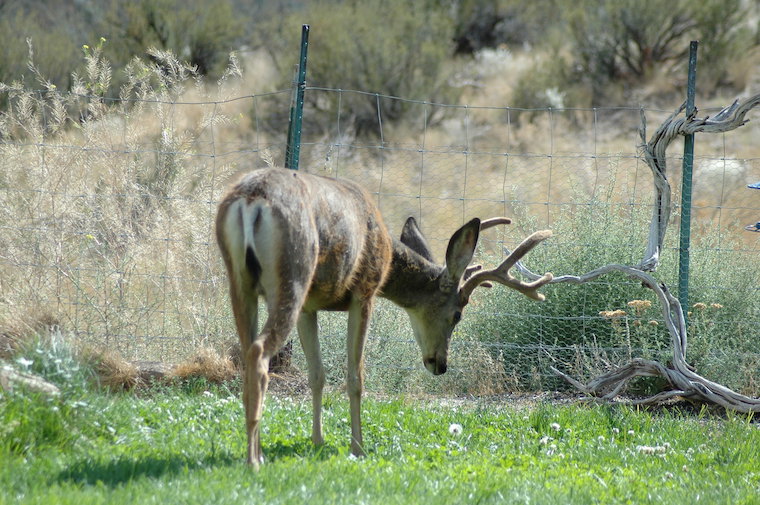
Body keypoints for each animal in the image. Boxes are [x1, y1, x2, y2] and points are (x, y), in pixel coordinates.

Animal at [215, 167, 553, 466]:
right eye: (457, 315)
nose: (440, 365)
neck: (387, 253)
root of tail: (252, 199)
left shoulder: (310, 306)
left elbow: (317, 375)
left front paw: (318, 441)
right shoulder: (364, 292)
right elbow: (355, 377)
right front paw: (358, 447)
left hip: (240, 281)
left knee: (249, 353)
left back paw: (257, 451)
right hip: (293, 274)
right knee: (259, 353)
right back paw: (253, 459)